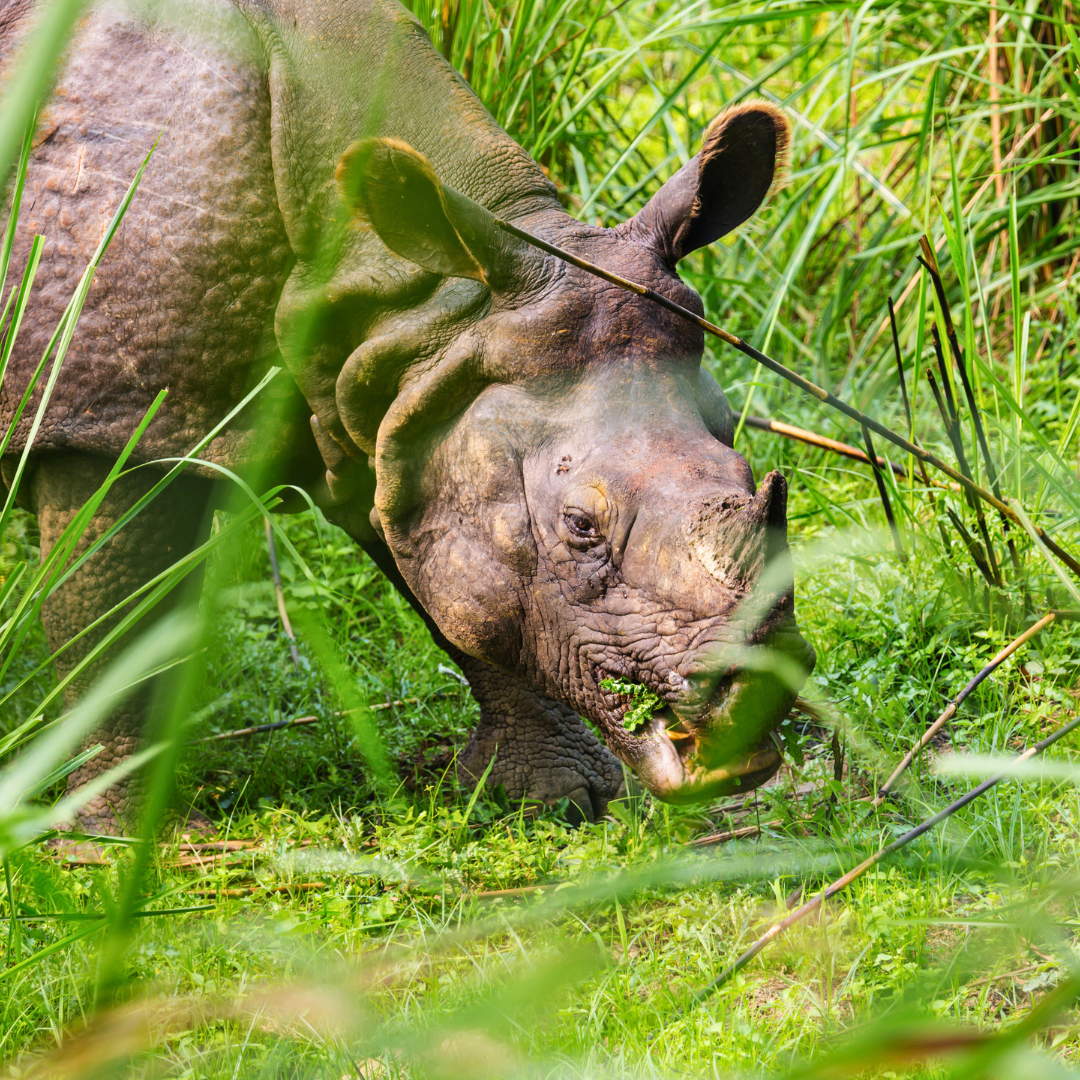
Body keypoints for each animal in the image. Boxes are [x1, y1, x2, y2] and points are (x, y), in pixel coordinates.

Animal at [1, 0, 814, 832]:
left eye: (747, 469)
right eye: (580, 526)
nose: (758, 694)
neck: (407, 288)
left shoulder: (401, 393)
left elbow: (456, 584)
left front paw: (552, 800)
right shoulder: (101, 413)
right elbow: (108, 628)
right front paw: (127, 839)